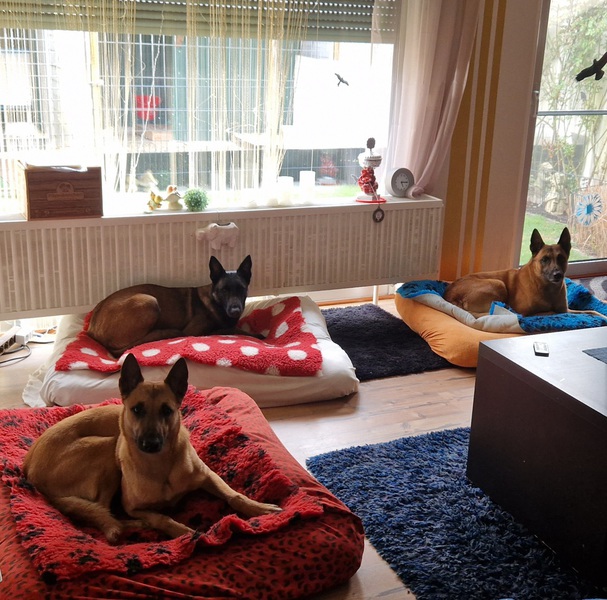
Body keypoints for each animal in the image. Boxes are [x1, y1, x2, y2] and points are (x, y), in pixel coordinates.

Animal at [22, 354, 282, 542]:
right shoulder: (133, 506)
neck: (161, 467)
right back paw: (135, 525)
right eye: (137, 409)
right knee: (105, 512)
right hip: (105, 448)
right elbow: (161, 518)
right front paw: (183, 533)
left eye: (167, 410)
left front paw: (258, 508)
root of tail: (30, 471)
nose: (151, 443)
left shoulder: (209, 475)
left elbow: (233, 495)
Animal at [88, 255, 256, 357]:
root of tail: (92, 328)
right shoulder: (193, 331)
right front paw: (255, 335)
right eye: (224, 290)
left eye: (241, 289)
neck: (215, 301)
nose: (235, 310)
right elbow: (228, 329)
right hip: (149, 301)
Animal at [444, 227, 580, 317]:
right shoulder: (525, 312)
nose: (558, 275)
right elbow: (551, 312)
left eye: (561, 258)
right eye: (545, 259)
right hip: (498, 283)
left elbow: (585, 312)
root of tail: (450, 296)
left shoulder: (566, 309)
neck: (547, 287)